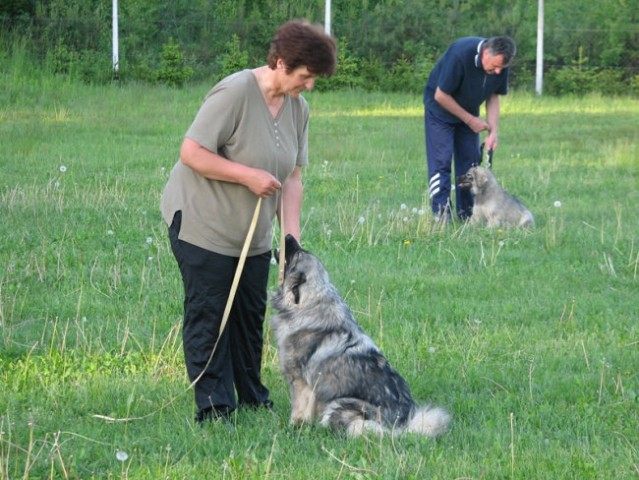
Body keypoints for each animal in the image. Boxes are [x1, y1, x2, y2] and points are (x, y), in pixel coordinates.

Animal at [270, 236, 450, 438]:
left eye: (298, 254)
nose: (288, 237)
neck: (310, 304)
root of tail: (401, 426)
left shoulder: (300, 383)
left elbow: (298, 411)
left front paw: (294, 427)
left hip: (340, 404)